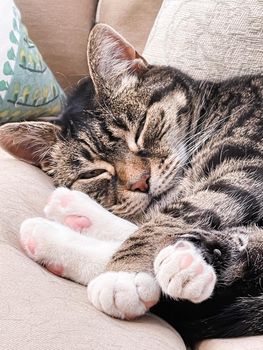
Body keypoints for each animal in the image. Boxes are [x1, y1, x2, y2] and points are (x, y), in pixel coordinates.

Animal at [0, 24, 263, 344]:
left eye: (139, 130)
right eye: (92, 173)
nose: (141, 183)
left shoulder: (247, 159)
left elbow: (176, 215)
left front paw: (125, 274)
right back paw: (67, 217)